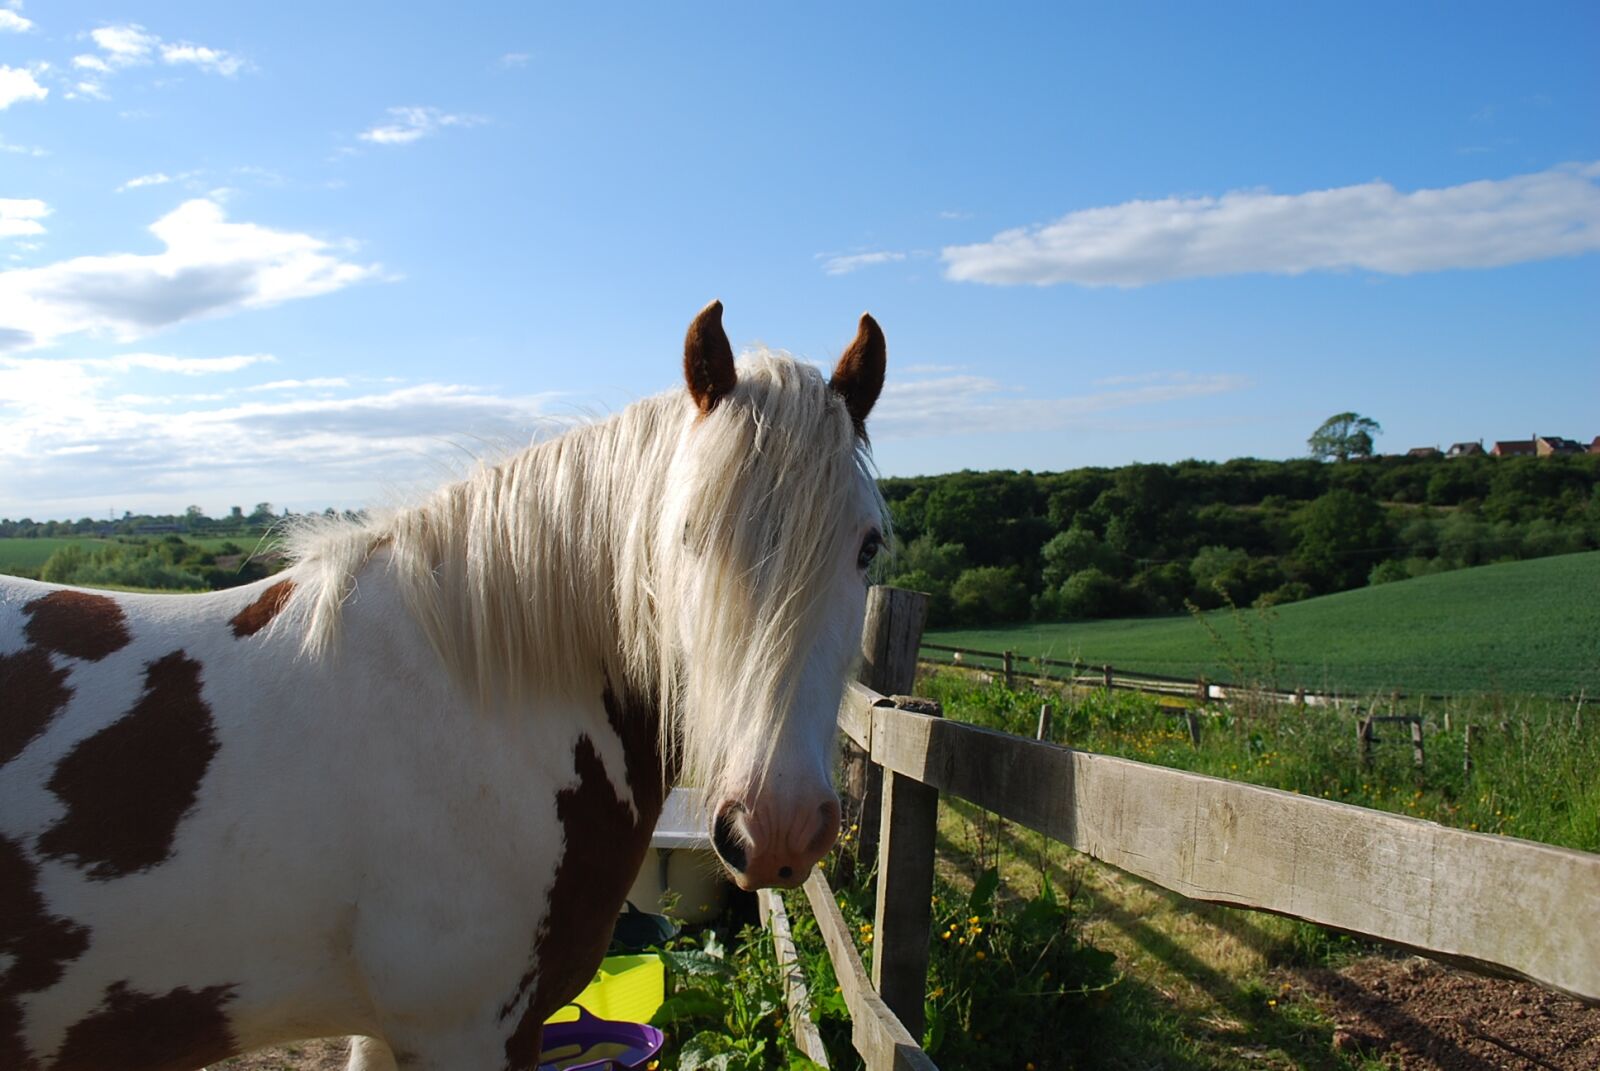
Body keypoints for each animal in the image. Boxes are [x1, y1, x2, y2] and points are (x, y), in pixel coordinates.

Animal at [0, 301, 888, 1071]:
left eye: (869, 547)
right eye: (688, 534)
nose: (775, 827)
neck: (478, 701)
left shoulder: (388, 1030)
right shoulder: (465, 1028)